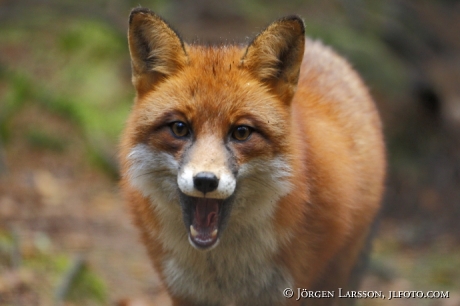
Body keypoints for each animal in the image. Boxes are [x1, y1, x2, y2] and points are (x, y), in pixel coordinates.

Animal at [117, 7, 384, 306]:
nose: (205, 181)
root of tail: (322, 47)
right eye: (179, 128)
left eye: (241, 132)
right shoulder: (186, 293)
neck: (226, 275)